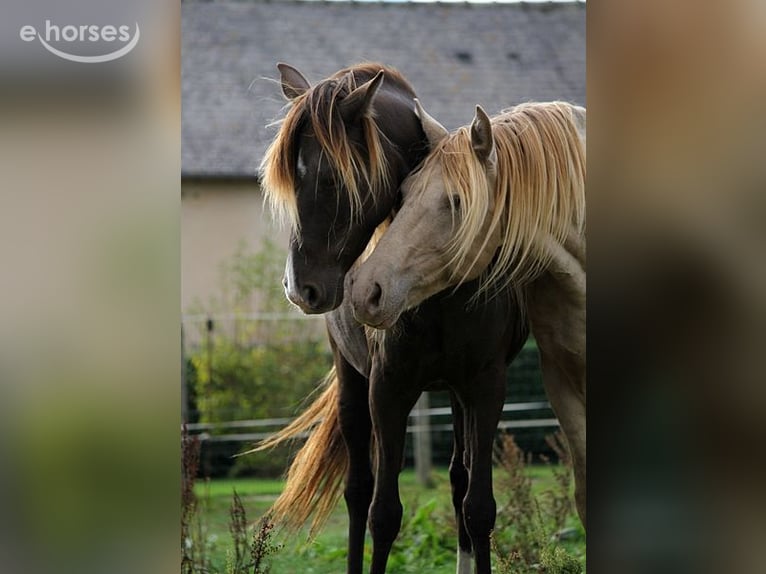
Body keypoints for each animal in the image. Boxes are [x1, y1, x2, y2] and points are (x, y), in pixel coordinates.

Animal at [254, 62, 529, 574]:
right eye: (289, 181)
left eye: (331, 178)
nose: (300, 288)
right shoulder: (387, 388)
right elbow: (383, 514)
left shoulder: (485, 387)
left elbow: (479, 506)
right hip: (352, 382)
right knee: (359, 492)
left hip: (455, 394)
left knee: (458, 480)